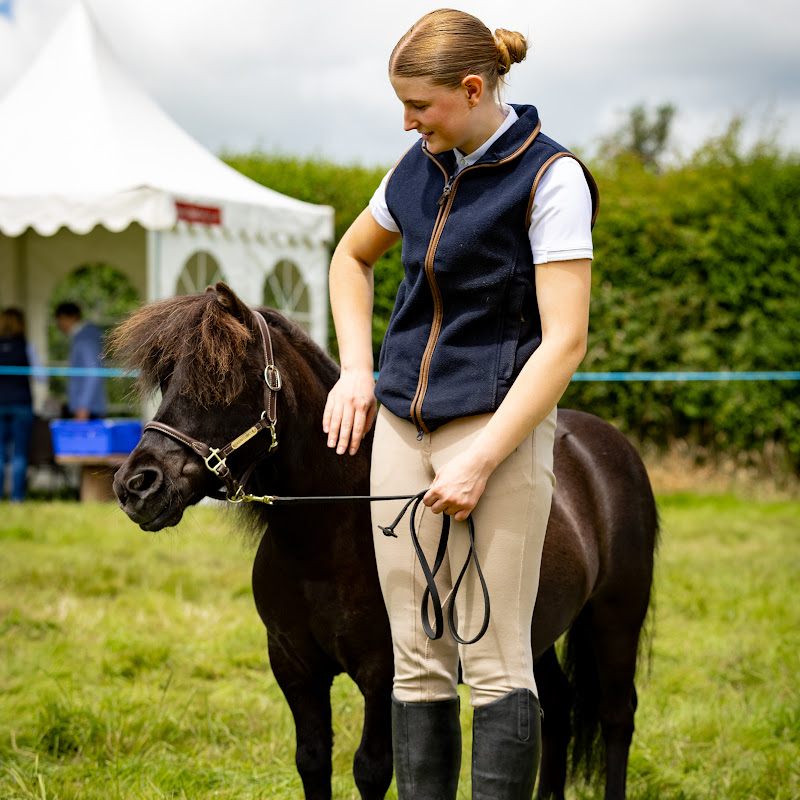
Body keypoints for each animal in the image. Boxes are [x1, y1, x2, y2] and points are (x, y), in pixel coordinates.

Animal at [110, 282, 658, 800]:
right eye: (167, 379)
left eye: (221, 379)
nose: (136, 485)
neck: (323, 545)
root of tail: (605, 446)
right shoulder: (294, 668)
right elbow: (312, 761)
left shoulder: (384, 673)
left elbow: (371, 769)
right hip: (528, 634)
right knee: (557, 710)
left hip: (615, 618)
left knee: (616, 716)